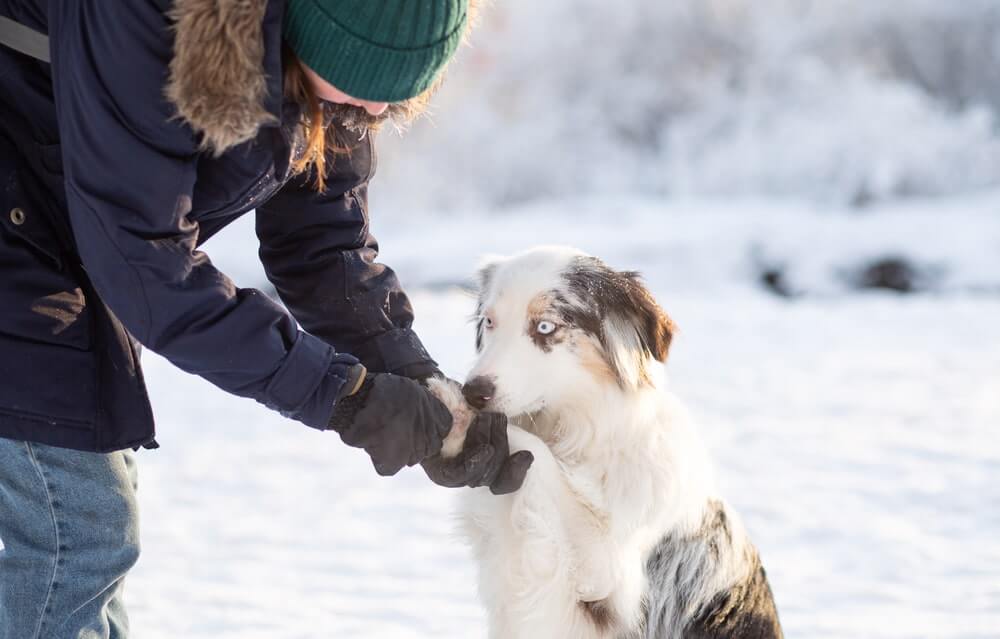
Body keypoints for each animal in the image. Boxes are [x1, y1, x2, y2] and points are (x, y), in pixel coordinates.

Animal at [428, 246, 780, 639]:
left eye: (545, 327)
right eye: (489, 322)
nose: (473, 392)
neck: (579, 434)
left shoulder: (603, 571)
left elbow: (540, 455)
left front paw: (460, 413)